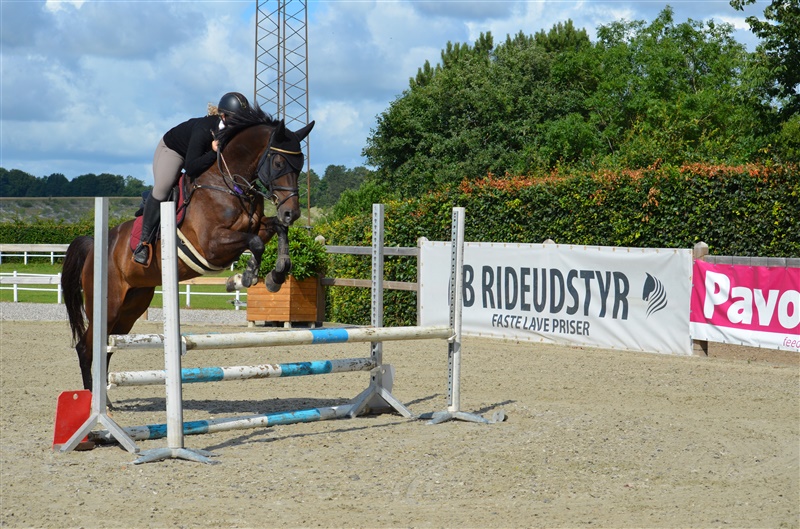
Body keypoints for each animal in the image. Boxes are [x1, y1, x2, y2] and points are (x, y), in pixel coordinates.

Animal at [61, 106, 314, 391]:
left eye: (300, 165)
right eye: (279, 163)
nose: (291, 213)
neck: (229, 183)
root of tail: (94, 246)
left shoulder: (257, 226)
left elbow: (277, 231)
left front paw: (276, 276)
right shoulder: (211, 245)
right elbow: (255, 243)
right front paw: (243, 278)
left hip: (131, 306)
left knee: (107, 348)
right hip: (108, 305)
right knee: (86, 348)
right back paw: (91, 395)